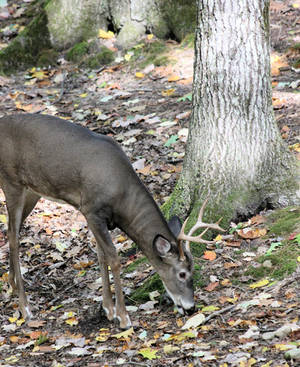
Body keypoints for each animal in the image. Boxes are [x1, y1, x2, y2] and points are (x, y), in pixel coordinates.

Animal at [0, 113, 225, 330]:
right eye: (182, 274)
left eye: (193, 269)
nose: (191, 307)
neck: (121, 199)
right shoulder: (91, 210)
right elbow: (114, 259)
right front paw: (123, 317)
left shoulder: (97, 218)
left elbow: (101, 257)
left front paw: (108, 309)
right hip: (12, 182)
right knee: (12, 236)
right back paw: (25, 308)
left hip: (32, 191)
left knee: (14, 231)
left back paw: (12, 285)